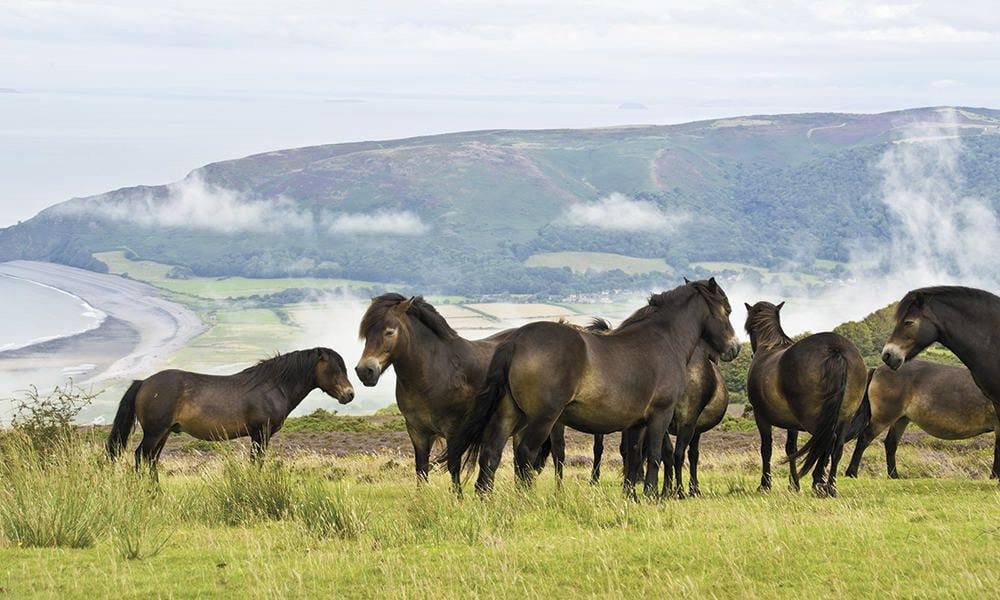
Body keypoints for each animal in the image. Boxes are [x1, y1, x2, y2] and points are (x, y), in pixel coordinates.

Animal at [105, 350, 354, 472]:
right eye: (335, 369)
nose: (349, 394)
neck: (273, 386)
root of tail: (144, 383)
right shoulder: (260, 433)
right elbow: (256, 462)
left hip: (163, 433)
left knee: (151, 461)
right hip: (155, 432)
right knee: (141, 457)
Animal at [450, 278, 740, 500]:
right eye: (727, 310)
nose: (734, 348)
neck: (664, 340)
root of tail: (517, 340)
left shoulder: (636, 423)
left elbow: (634, 457)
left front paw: (631, 496)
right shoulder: (661, 415)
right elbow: (655, 455)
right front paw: (651, 495)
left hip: (510, 412)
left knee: (491, 453)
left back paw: (485, 499)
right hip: (543, 418)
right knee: (525, 455)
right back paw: (526, 499)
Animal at [744, 300, 868, 496]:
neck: (769, 347)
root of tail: (836, 350)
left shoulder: (761, 416)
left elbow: (767, 449)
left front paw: (765, 485)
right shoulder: (792, 423)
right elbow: (791, 449)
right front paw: (794, 484)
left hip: (813, 419)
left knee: (826, 441)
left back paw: (818, 481)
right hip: (844, 417)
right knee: (837, 447)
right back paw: (830, 486)